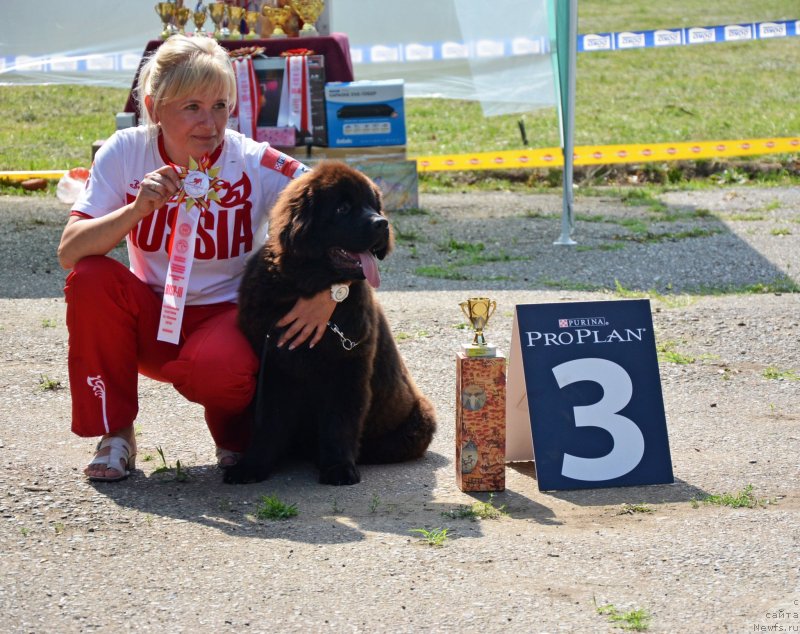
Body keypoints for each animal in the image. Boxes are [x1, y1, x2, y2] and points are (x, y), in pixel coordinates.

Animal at [223, 159, 438, 484]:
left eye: (373, 204)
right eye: (342, 208)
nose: (382, 224)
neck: (304, 287)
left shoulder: (346, 367)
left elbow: (340, 421)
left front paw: (338, 467)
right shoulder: (273, 365)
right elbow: (267, 422)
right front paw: (252, 467)